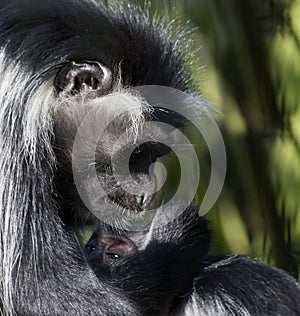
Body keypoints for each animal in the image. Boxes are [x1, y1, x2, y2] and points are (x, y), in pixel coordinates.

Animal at [0, 0, 205, 316]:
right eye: (137, 153)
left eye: (154, 155)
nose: (146, 195)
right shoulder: (13, 138)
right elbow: (41, 292)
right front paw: (178, 229)